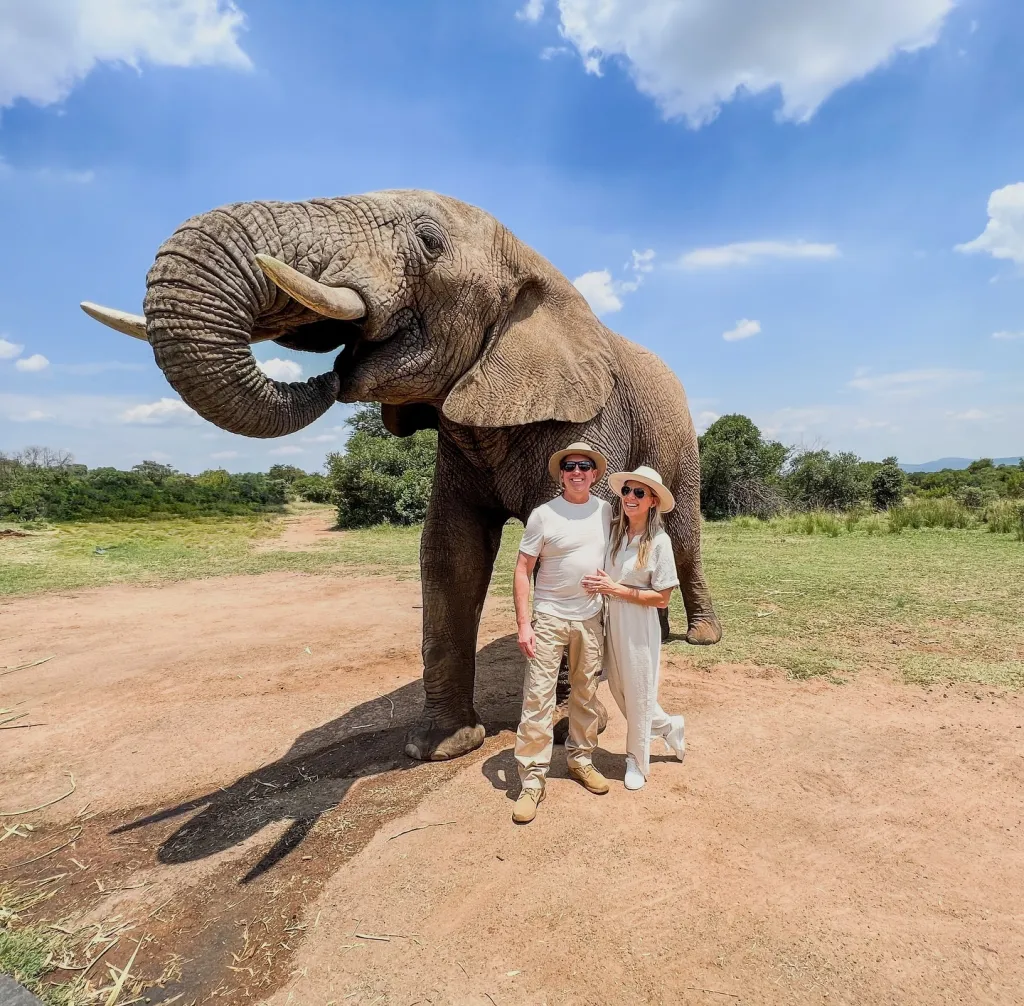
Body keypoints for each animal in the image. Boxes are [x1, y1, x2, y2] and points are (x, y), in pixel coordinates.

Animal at [81, 190, 722, 762]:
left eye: (429, 241)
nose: (334, 371)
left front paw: (570, 726)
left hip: (680, 437)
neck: (531, 260)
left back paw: (697, 638)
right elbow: (449, 552)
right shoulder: (458, 437)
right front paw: (441, 746)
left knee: (682, 535)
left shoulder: (591, 415)